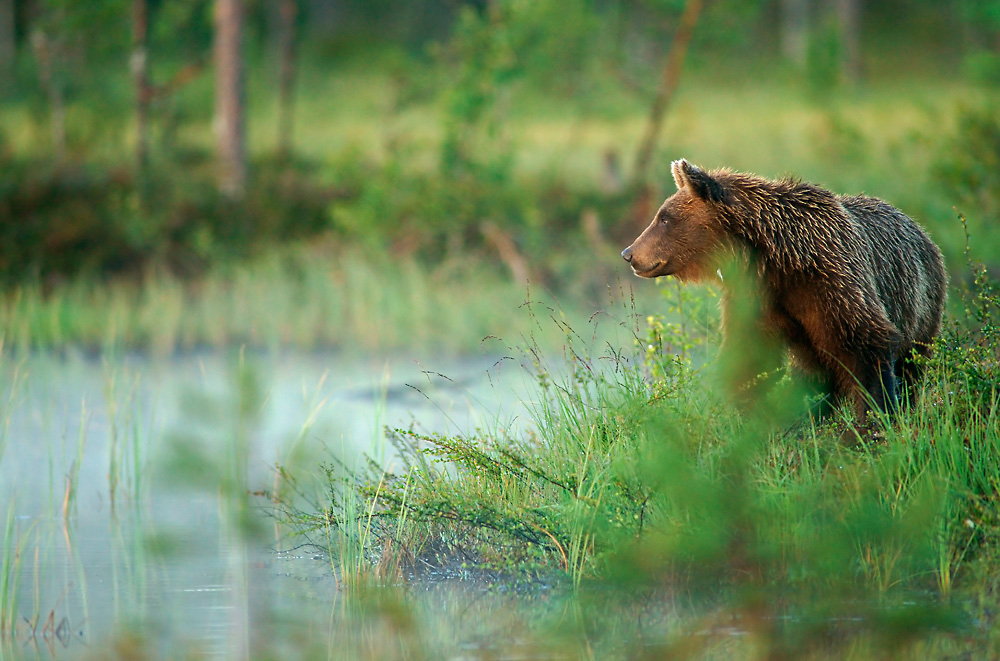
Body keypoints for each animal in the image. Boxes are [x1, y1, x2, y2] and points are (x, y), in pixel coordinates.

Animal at [620, 157, 948, 420]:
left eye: (664, 218)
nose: (629, 253)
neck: (777, 257)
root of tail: (920, 230)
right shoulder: (755, 297)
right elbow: (749, 358)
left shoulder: (831, 281)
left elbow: (865, 345)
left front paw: (874, 422)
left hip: (920, 304)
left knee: (910, 365)